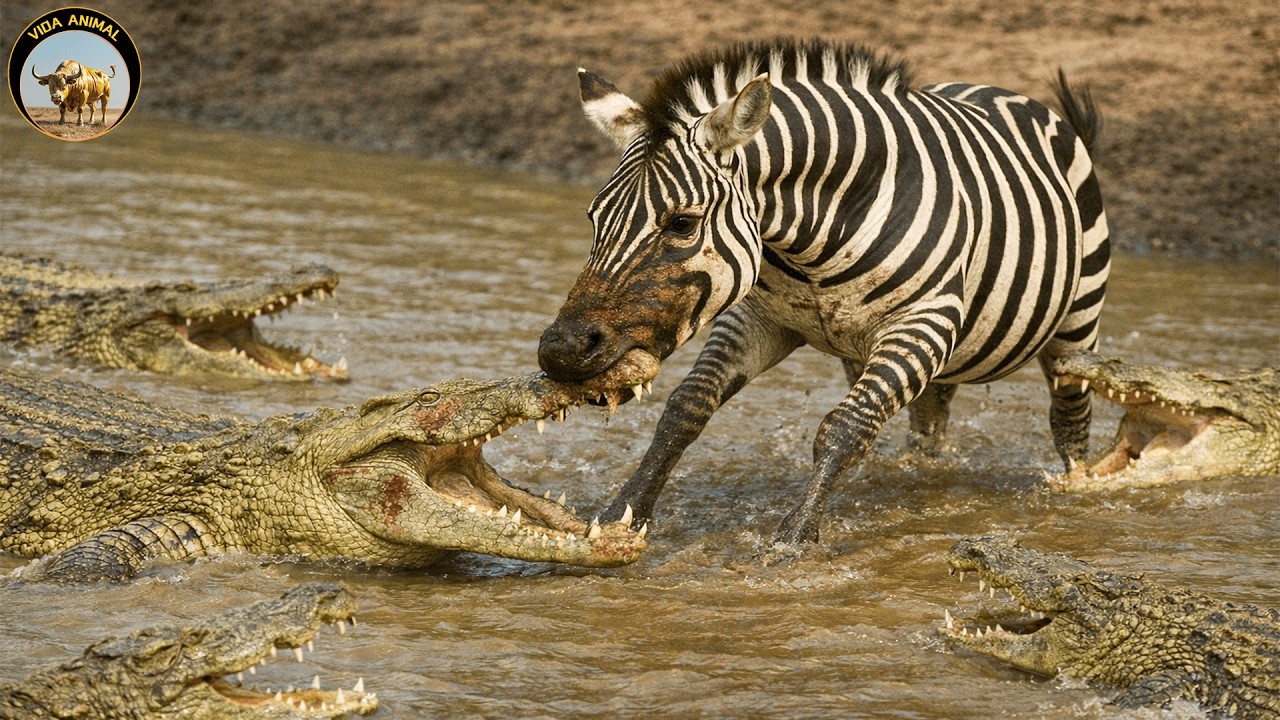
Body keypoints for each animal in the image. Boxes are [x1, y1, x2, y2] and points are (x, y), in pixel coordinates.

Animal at [537, 38, 1110, 544]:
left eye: (682, 223)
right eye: (594, 218)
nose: (560, 350)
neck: (813, 240)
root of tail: (1000, 90)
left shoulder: (921, 325)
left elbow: (844, 427)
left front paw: (795, 538)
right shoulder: (758, 319)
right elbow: (684, 409)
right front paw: (623, 512)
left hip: (1076, 326)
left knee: (1069, 419)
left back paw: (1076, 491)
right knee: (929, 420)